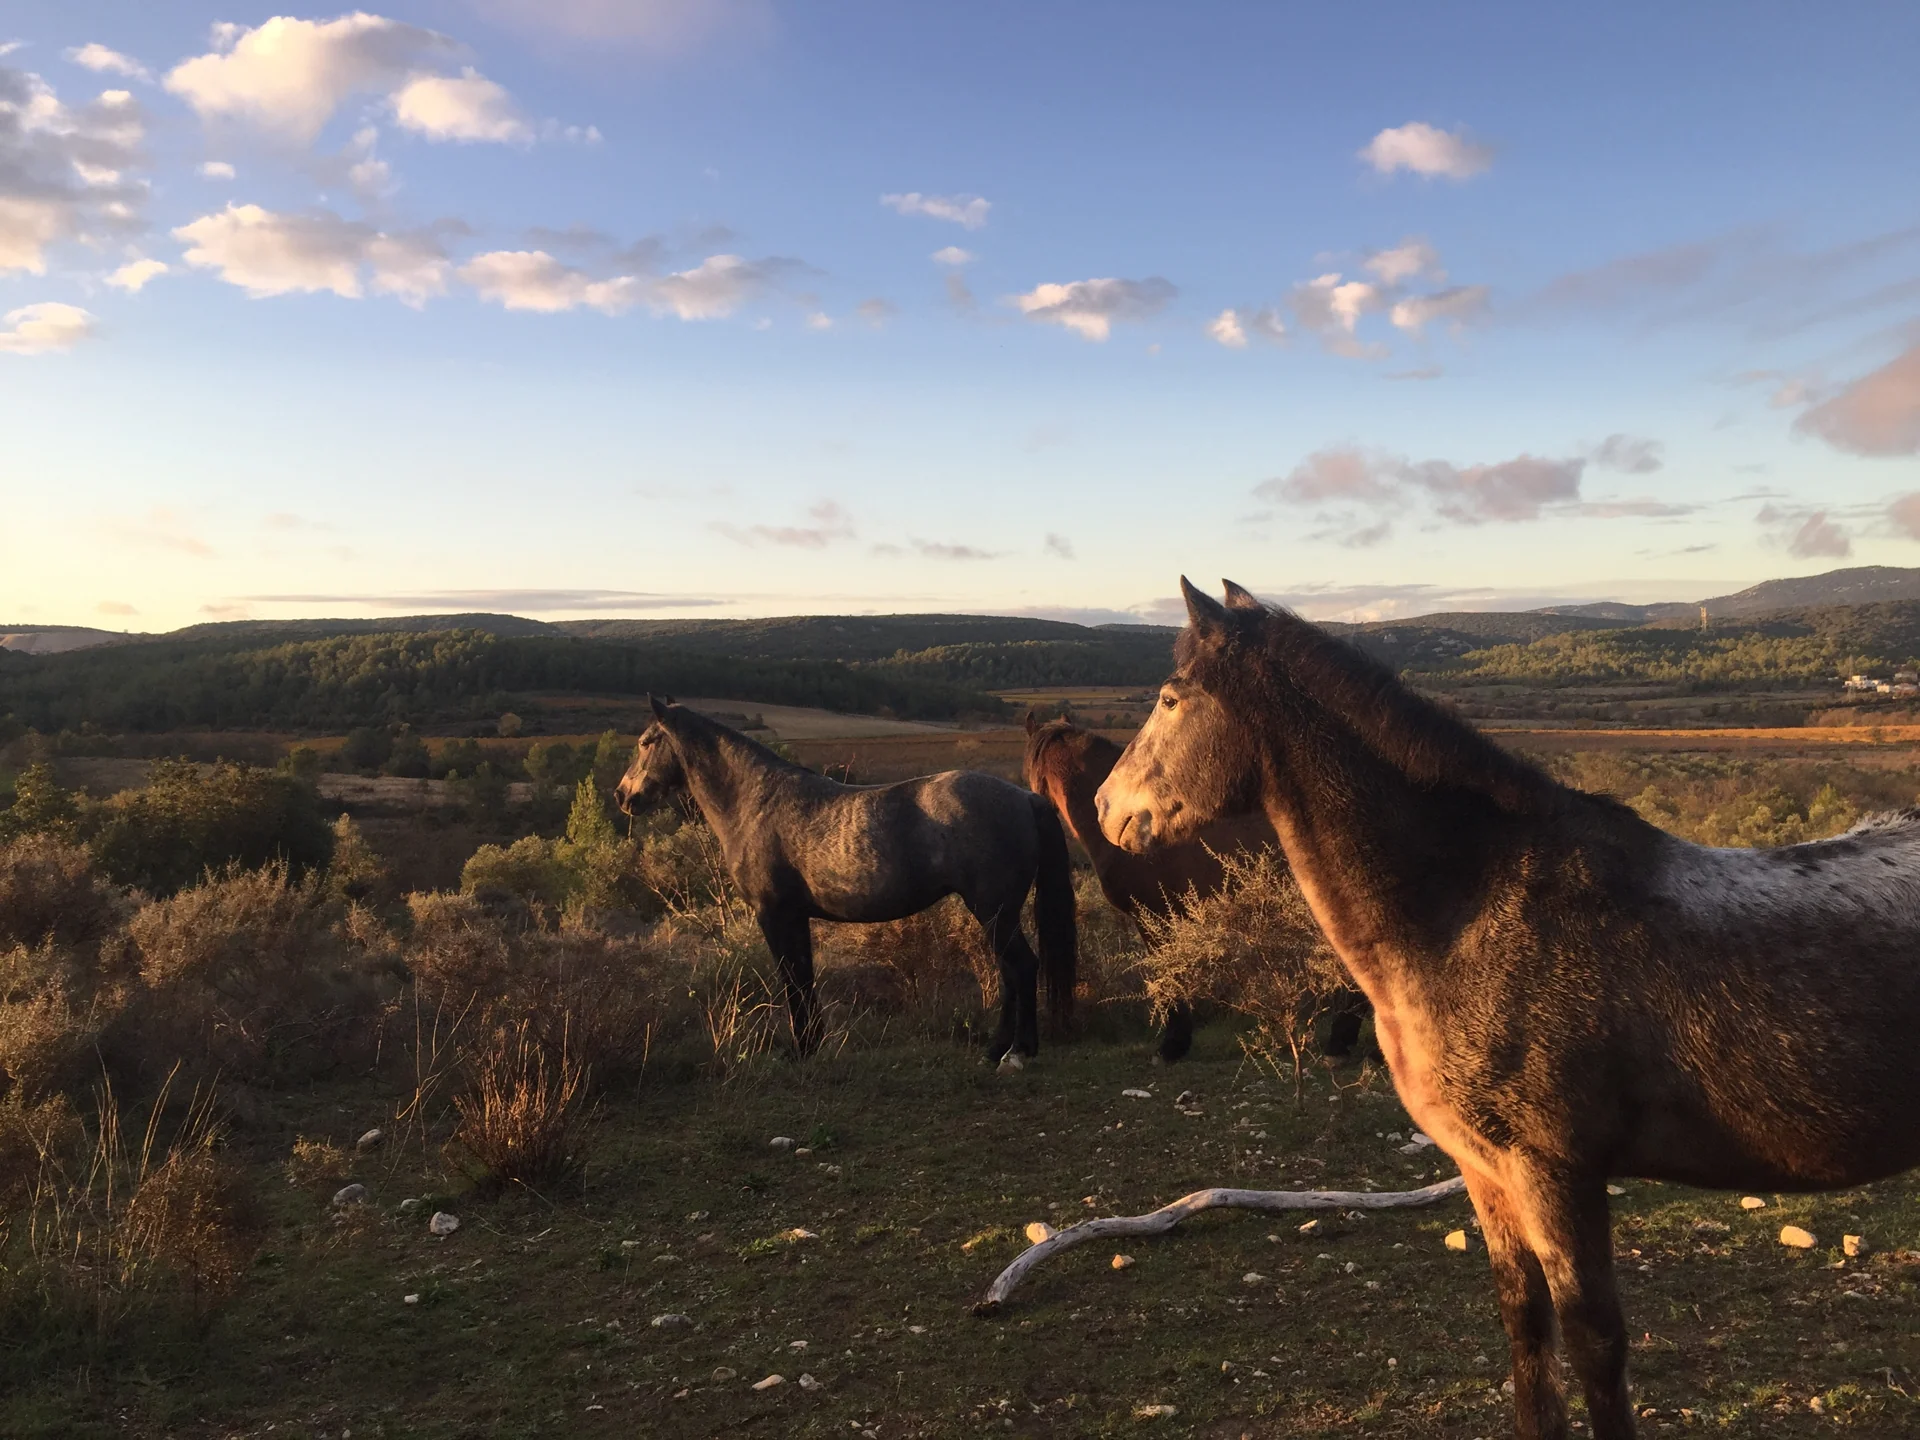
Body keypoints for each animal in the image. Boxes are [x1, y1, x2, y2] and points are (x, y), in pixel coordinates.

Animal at [616, 697, 1078, 1062]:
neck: (755, 802)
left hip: (994, 910)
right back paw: (1001, 1048)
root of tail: (1025, 798)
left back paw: (1015, 1052)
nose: (623, 796)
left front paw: (801, 1049)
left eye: (645, 742)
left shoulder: (774, 914)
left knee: (1021, 967)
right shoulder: (795, 917)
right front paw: (811, 1044)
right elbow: (802, 977)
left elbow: (792, 979)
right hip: (997, 913)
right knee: (1011, 970)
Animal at [1094, 578, 1920, 1440]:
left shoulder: (1555, 1170)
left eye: (1169, 698)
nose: (1103, 806)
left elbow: (1593, 1345)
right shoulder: (1486, 1170)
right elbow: (1527, 1330)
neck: (1470, 911)